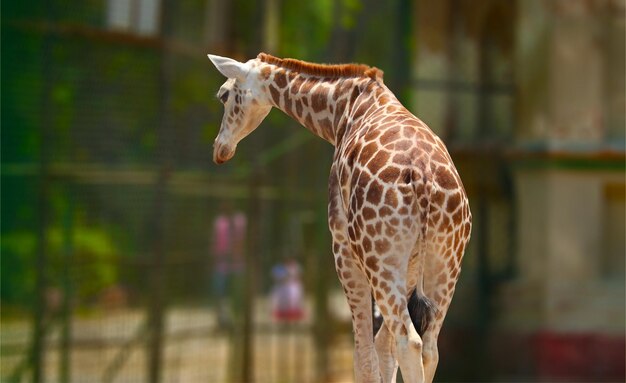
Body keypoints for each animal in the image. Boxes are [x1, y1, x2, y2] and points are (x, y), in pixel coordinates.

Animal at [207, 51, 470, 383]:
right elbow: (382, 350)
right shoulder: (408, 264)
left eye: (223, 94)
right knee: (429, 348)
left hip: (380, 259)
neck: (339, 111)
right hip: (445, 260)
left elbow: (364, 355)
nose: (220, 149)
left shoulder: (342, 245)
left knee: (408, 342)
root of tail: (423, 179)